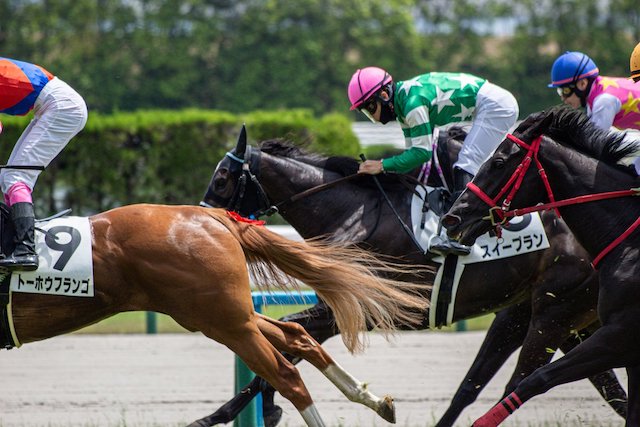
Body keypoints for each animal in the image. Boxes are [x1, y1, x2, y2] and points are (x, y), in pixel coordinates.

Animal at [2, 204, 430, 427]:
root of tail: (210, 216)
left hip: (225, 321)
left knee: (286, 374)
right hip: (224, 314)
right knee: (297, 334)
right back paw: (374, 400)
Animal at [194, 125, 624, 426]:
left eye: (222, 178)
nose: (201, 224)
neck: (349, 213)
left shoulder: (349, 311)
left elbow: (282, 351)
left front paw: (236, 414)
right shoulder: (337, 310)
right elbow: (287, 348)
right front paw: (243, 412)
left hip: (554, 312)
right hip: (553, 315)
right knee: (604, 388)